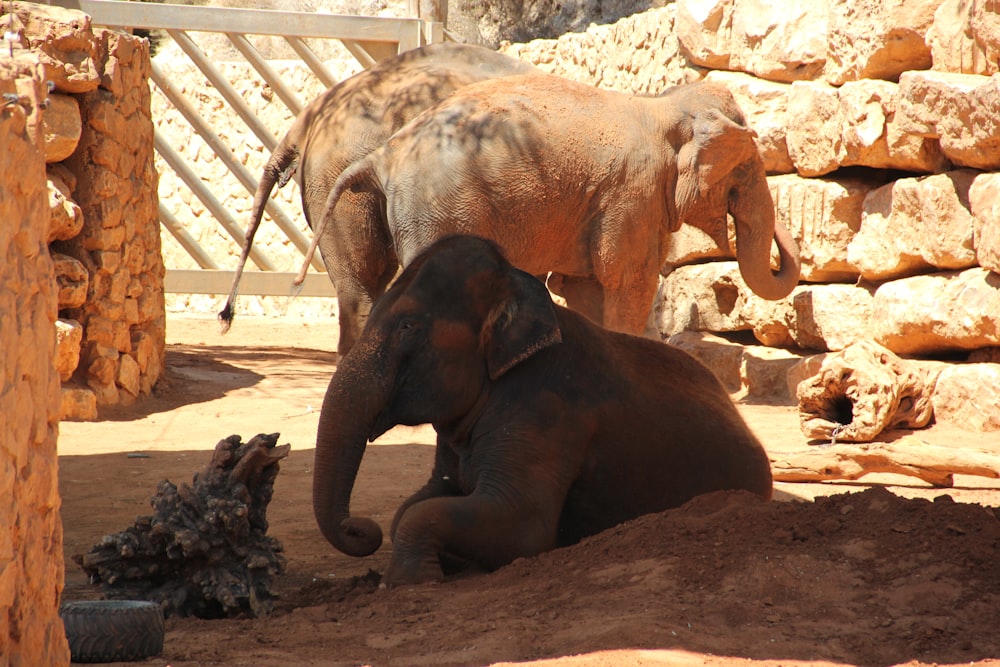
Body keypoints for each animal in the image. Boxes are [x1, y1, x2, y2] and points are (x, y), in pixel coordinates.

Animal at [298, 75, 804, 340]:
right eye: (745, 170)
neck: (662, 105)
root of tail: (387, 151)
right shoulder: (633, 196)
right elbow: (630, 282)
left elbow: (585, 288)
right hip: (438, 212)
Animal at [312, 234, 772, 584]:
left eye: (408, 326)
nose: (358, 527)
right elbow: (416, 503)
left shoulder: (547, 412)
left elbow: (520, 525)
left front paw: (412, 582)